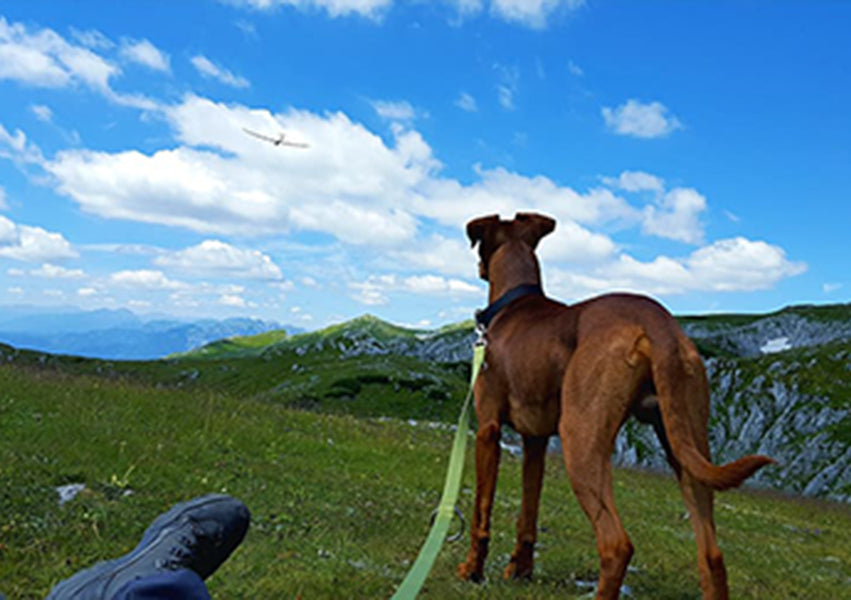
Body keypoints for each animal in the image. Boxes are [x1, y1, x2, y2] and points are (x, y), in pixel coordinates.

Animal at [460, 213, 780, 596]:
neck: (514, 303)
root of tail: (657, 321)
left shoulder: (488, 430)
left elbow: (481, 511)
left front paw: (472, 570)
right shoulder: (535, 441)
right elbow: (528, 513)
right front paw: (520, 570)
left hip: (581, 440)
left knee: (617, 545)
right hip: (687, 446)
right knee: (712, 556)